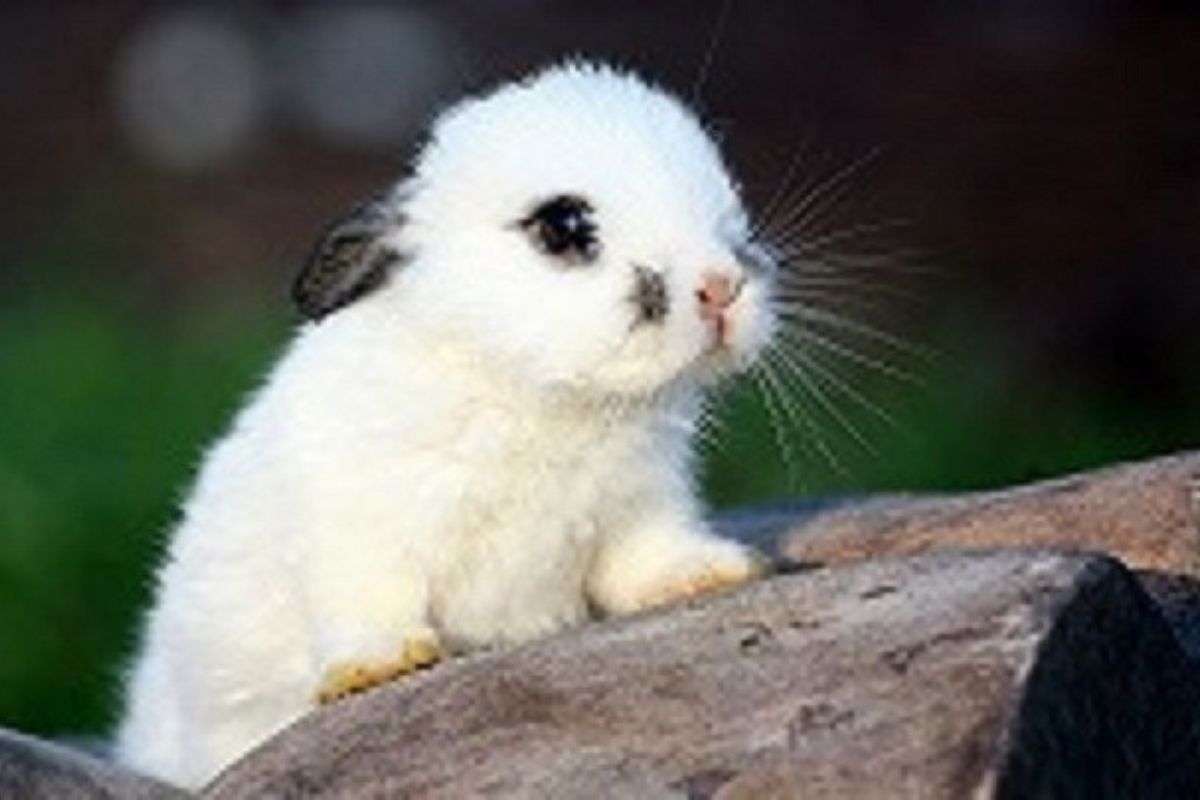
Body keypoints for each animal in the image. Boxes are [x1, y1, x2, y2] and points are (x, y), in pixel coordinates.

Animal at [112, 61, 777, 786]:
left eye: (728, 208)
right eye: (563, 226)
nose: (721, 287)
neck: (537, 395)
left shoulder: (639, 507)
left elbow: (645, 559)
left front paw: (711, 572)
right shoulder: (358, 526)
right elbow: (369, 597)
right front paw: (381, 665)